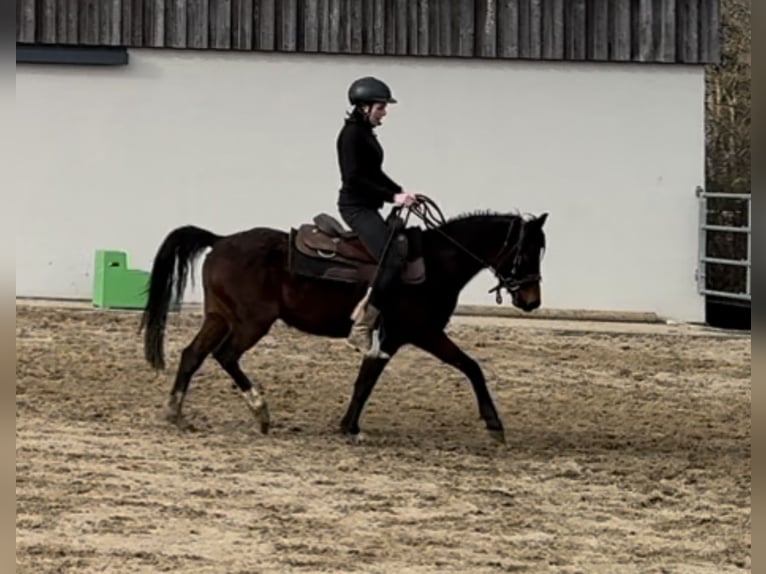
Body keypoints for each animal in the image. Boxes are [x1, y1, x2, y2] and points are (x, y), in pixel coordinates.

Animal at [136, 198, 544, 446]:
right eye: (526, 251)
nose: (531, 300)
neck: (436, 263)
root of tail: (220, 240)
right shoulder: (419, 332)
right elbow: (470, 367)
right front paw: (494, 425)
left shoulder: (392, 338)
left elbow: (366, 379)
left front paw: (348, 425)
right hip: (251, 322)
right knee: (225, 356)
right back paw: (261, 411)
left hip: (219, 317)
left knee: (192, 355)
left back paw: (176, 414)